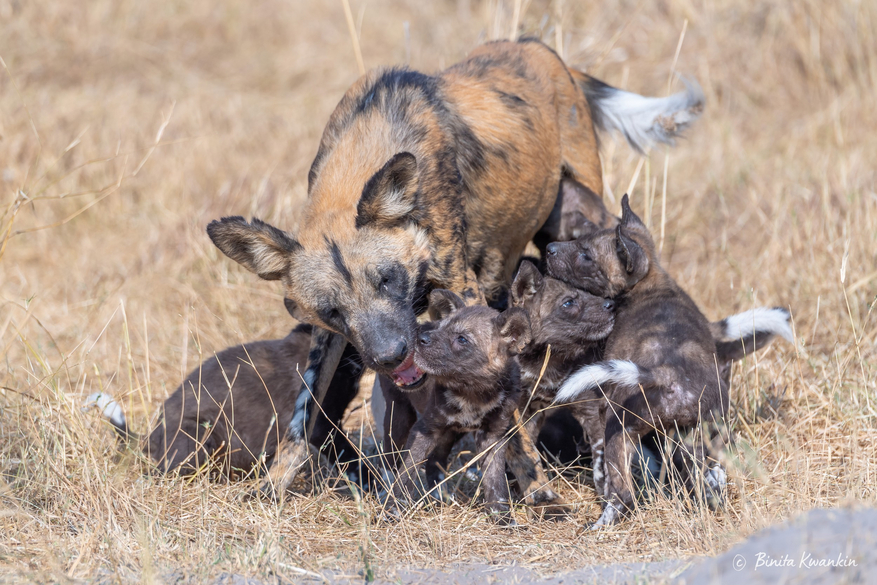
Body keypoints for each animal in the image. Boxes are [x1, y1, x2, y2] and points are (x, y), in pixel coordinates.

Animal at [205, 40, 704, 498]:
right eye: (332, 311)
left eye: (388, 279)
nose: (389, 356)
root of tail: (538, 48)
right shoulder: (331, 340)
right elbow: (303, 413)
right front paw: (270, 490)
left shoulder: (462, 287)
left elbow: (511, 418)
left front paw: (538, 488)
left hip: (575, 219)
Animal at [392, 290, 532, 524]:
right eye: (439, 327)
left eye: (462, 339)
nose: (421, 338)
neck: (472, 392)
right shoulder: (425, 429)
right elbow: (406, 473)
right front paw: (393, 510)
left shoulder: (493, 437)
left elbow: (496, 484)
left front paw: (501, 518)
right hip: (400, 420)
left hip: (450, 434)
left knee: (435, 462)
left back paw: (440, 497)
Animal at [544, 195, 792, 524]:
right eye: (579, 239)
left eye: (586, 255)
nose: (548, 248)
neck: (648, 283)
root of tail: (669, 376)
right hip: (702, 438)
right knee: (713, 477)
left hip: (618, 431)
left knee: (623, 495)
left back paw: (601, 523)